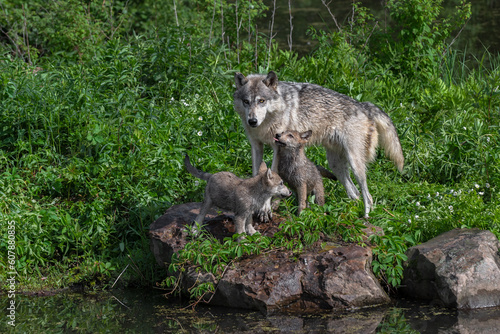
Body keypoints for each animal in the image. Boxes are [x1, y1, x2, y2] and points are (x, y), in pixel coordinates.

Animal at [233, 71, 402, 218]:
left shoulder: (277, 148)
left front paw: (266, 209)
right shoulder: (256, 146)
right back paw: (348, 213)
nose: (252, 121)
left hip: (355, 165)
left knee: (368, 196)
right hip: (335, 165)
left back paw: (365, 217)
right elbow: (256, 174)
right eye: (246, 101)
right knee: (355, 193)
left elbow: (271, 175)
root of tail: (364, 105)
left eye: (261, 101)